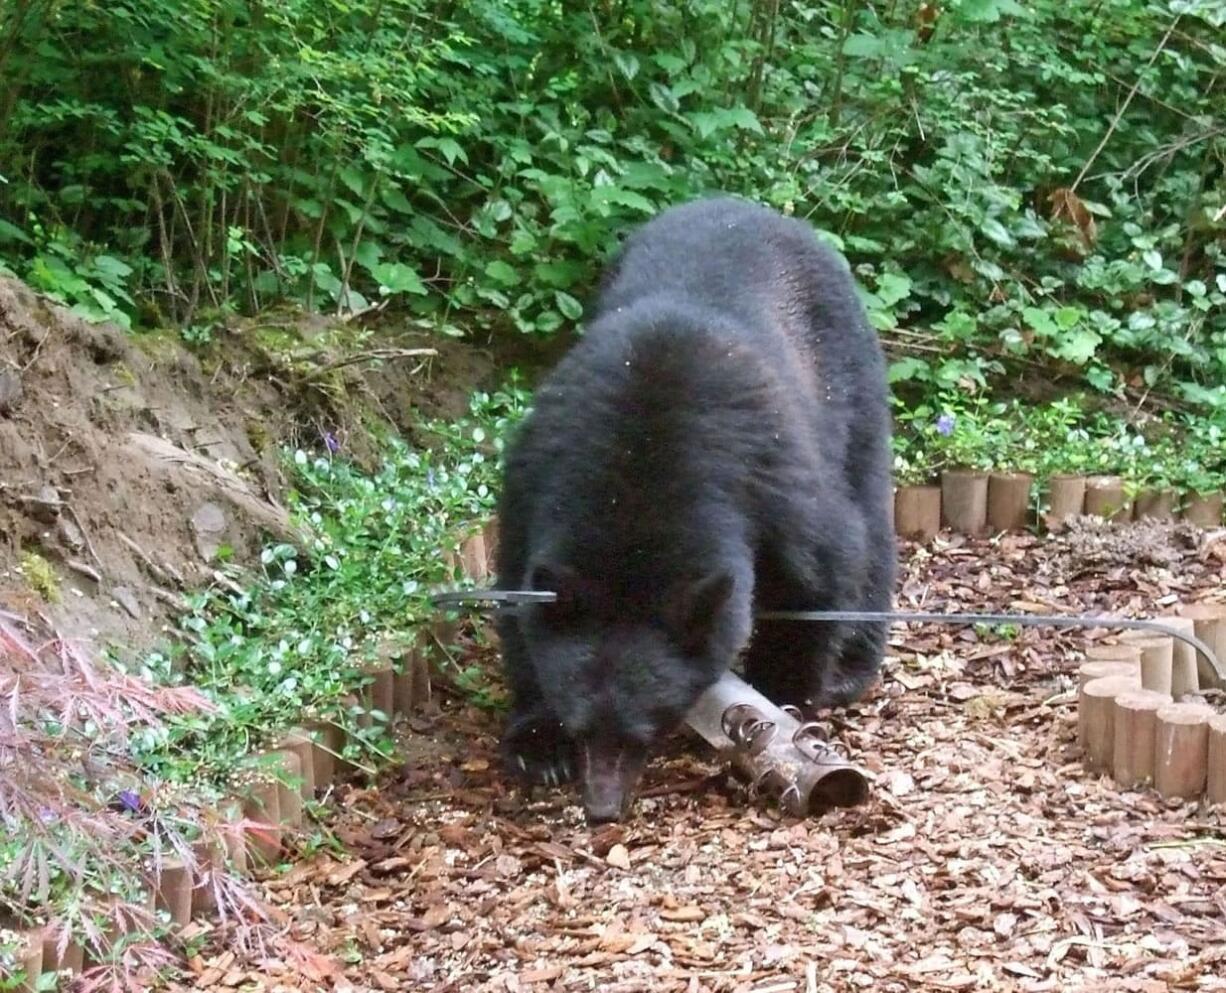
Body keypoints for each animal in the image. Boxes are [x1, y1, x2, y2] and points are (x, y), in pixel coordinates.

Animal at [492, 193, 897, 818]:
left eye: (643, 730)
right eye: (583, 727)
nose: (602, 808)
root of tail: (752, 207)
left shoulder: (773, 477)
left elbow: (819, 571)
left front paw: (783, 696)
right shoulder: (536, 474)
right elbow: (519, 593)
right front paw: (539, 744)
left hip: (849, 376)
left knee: (870, 510)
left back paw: (851, 670)